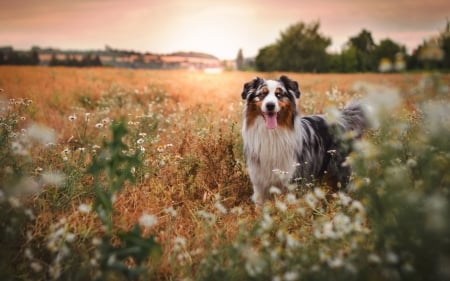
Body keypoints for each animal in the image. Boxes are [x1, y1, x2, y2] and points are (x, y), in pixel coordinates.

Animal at [243, 75, 366, 206]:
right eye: (262, 94)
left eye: (279, 94)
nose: (270, 105)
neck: (272, 134)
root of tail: (343, 117)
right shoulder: (259, 183)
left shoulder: (292, 178)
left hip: (341, 169)